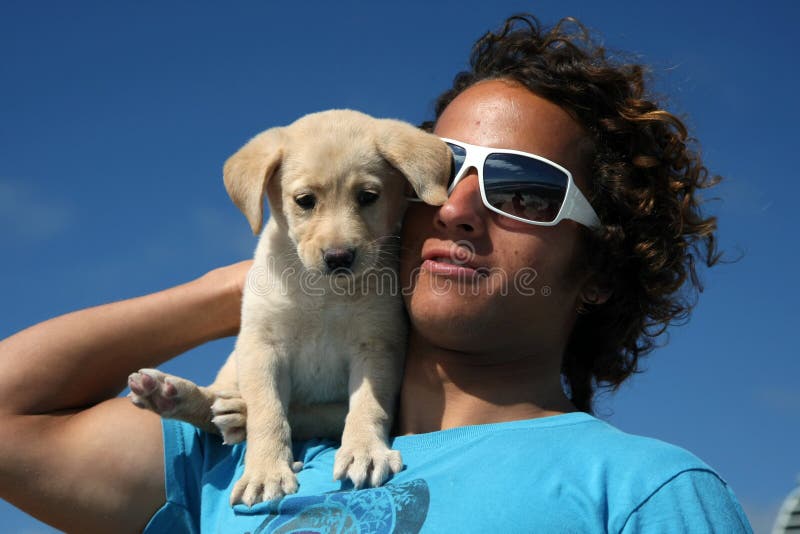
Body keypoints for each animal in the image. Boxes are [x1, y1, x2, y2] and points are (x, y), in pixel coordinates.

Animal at [126, 110, 450, 506]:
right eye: (305, 200)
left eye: (368, 196)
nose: (339, 258)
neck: (323, 292)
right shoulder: (262, 344)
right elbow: (268, 412)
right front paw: (265, 471)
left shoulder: (377, 346)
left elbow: (368, 404)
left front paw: (364, 450)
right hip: (237, 358)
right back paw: (174, 395)